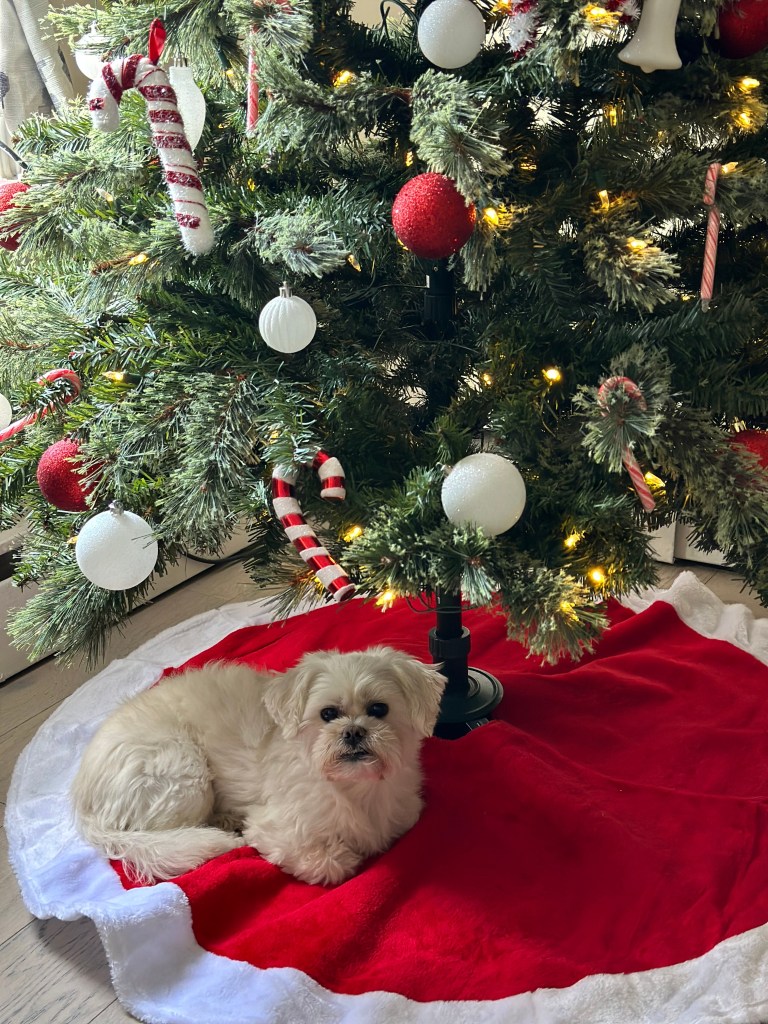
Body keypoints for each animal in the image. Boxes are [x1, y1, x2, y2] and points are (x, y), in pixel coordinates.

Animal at [71, 646, 446, 886]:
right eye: (328, 714)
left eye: (379, 709)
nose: (353, 731)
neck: (356, 790)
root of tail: (82, 798)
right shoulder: (276, 828)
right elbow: (330, 863)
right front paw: (343, 858)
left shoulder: (404, 814)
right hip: (182, 772)